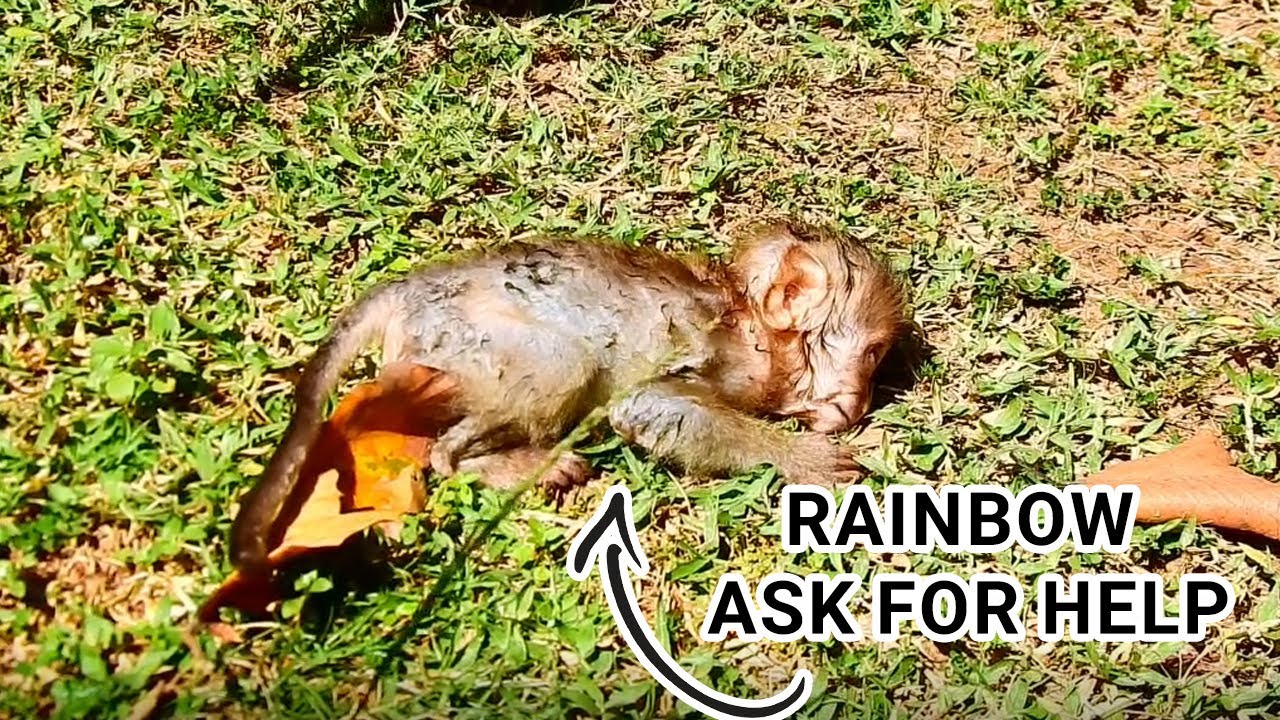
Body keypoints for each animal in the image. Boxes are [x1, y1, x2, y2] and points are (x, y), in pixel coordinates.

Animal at [229, 219, 909, 572]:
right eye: (873, 353)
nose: (860, 403)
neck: (751, 326)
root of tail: (408, 290)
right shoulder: (721, 356)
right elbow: (646, 407)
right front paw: (803, 459)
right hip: (464, 333)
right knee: (554, 370)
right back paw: (497, 462)